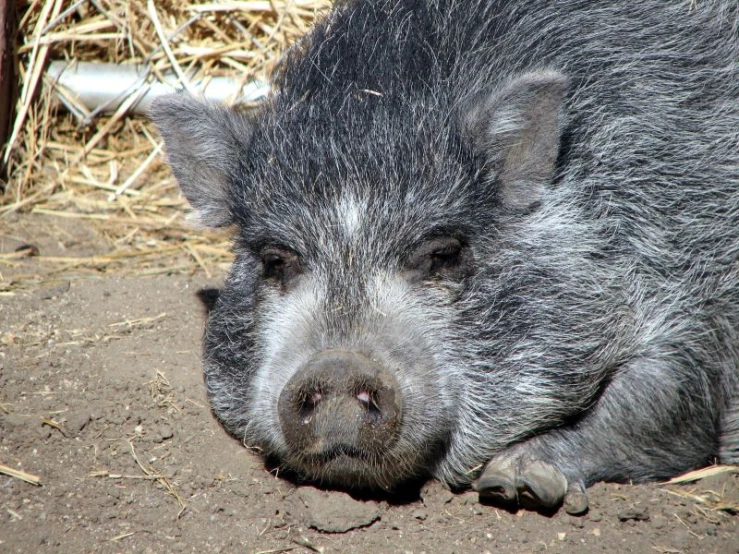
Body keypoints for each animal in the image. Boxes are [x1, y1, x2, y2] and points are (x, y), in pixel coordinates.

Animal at [150, 0, 739, 512]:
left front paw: (515, 483)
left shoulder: (683, 281)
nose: (338, 367)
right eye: (276, 259)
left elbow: (665, 401)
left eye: (443, 252)